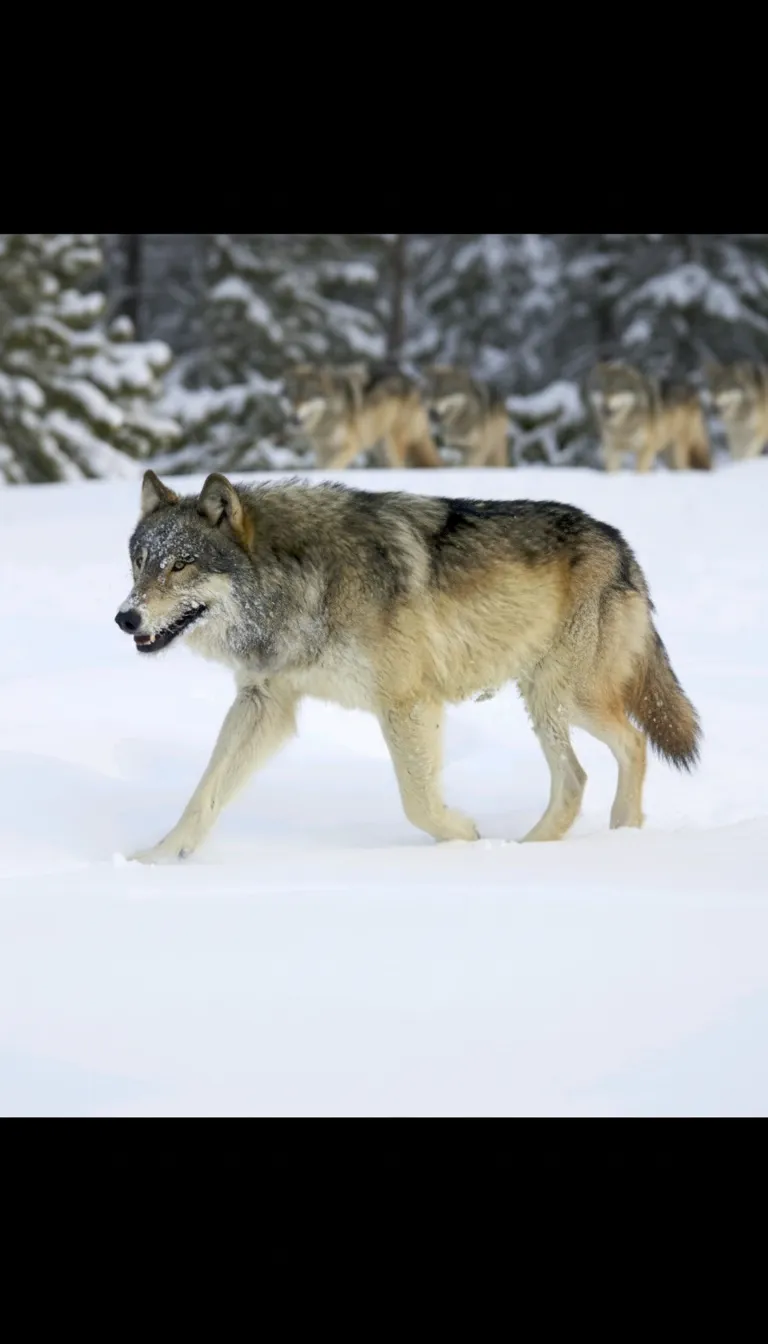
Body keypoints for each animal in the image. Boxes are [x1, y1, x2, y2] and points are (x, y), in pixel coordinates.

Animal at [115, 470, 701, 863]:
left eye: (181, 565)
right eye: (139, 563)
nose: (125, 617)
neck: (303, 584)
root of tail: (620, 545)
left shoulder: (408, 702)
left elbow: (419, 802)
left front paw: (466, 839)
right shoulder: (263, 702)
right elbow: (203, 794)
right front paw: (155, 860)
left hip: (560, 697)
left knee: (616, 753)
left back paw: (564, 844)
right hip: (548, 698)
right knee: (603, 761)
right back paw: (585, 840)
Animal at [282, 362, 441, 469]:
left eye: (307, 397)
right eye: (292, 397)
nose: (293, 417)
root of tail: (413, 384)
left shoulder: (351, 446)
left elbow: (331, 468)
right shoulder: (322, 452)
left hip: (392, 444)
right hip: (380, 448)